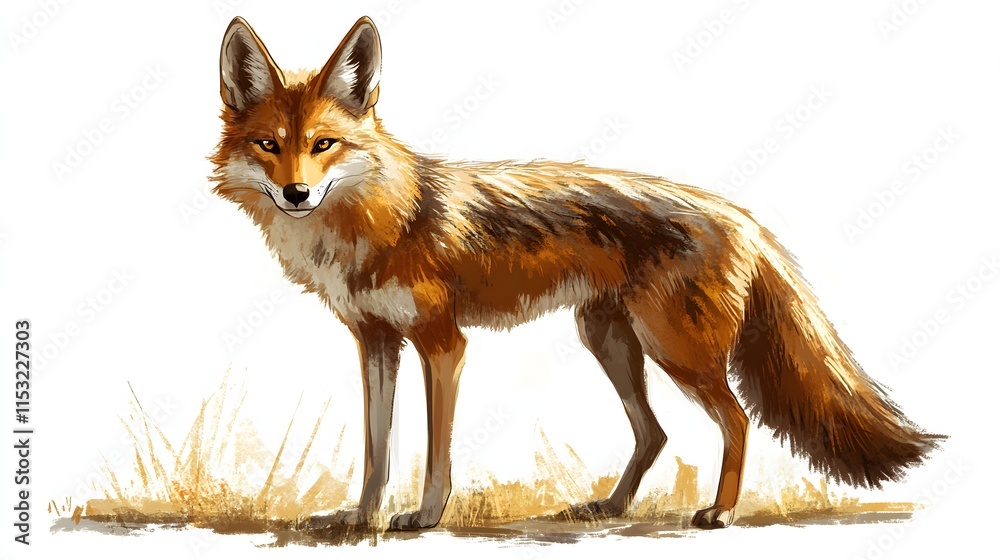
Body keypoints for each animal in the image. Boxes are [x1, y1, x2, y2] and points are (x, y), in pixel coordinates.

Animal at [210, 16, 942, 530]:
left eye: (324, 144)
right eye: (269, 145)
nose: (297, 193)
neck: (378, 223)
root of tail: (739, 214)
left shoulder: (444, 343)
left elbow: (436, 452)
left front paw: (423, 517)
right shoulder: (376, 343)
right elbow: (376, 450)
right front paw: (361, 518)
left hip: (675, 351)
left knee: (736, 420)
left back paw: (721, 511)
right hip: (610, 341)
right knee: (654, 434)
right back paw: (610, 508)